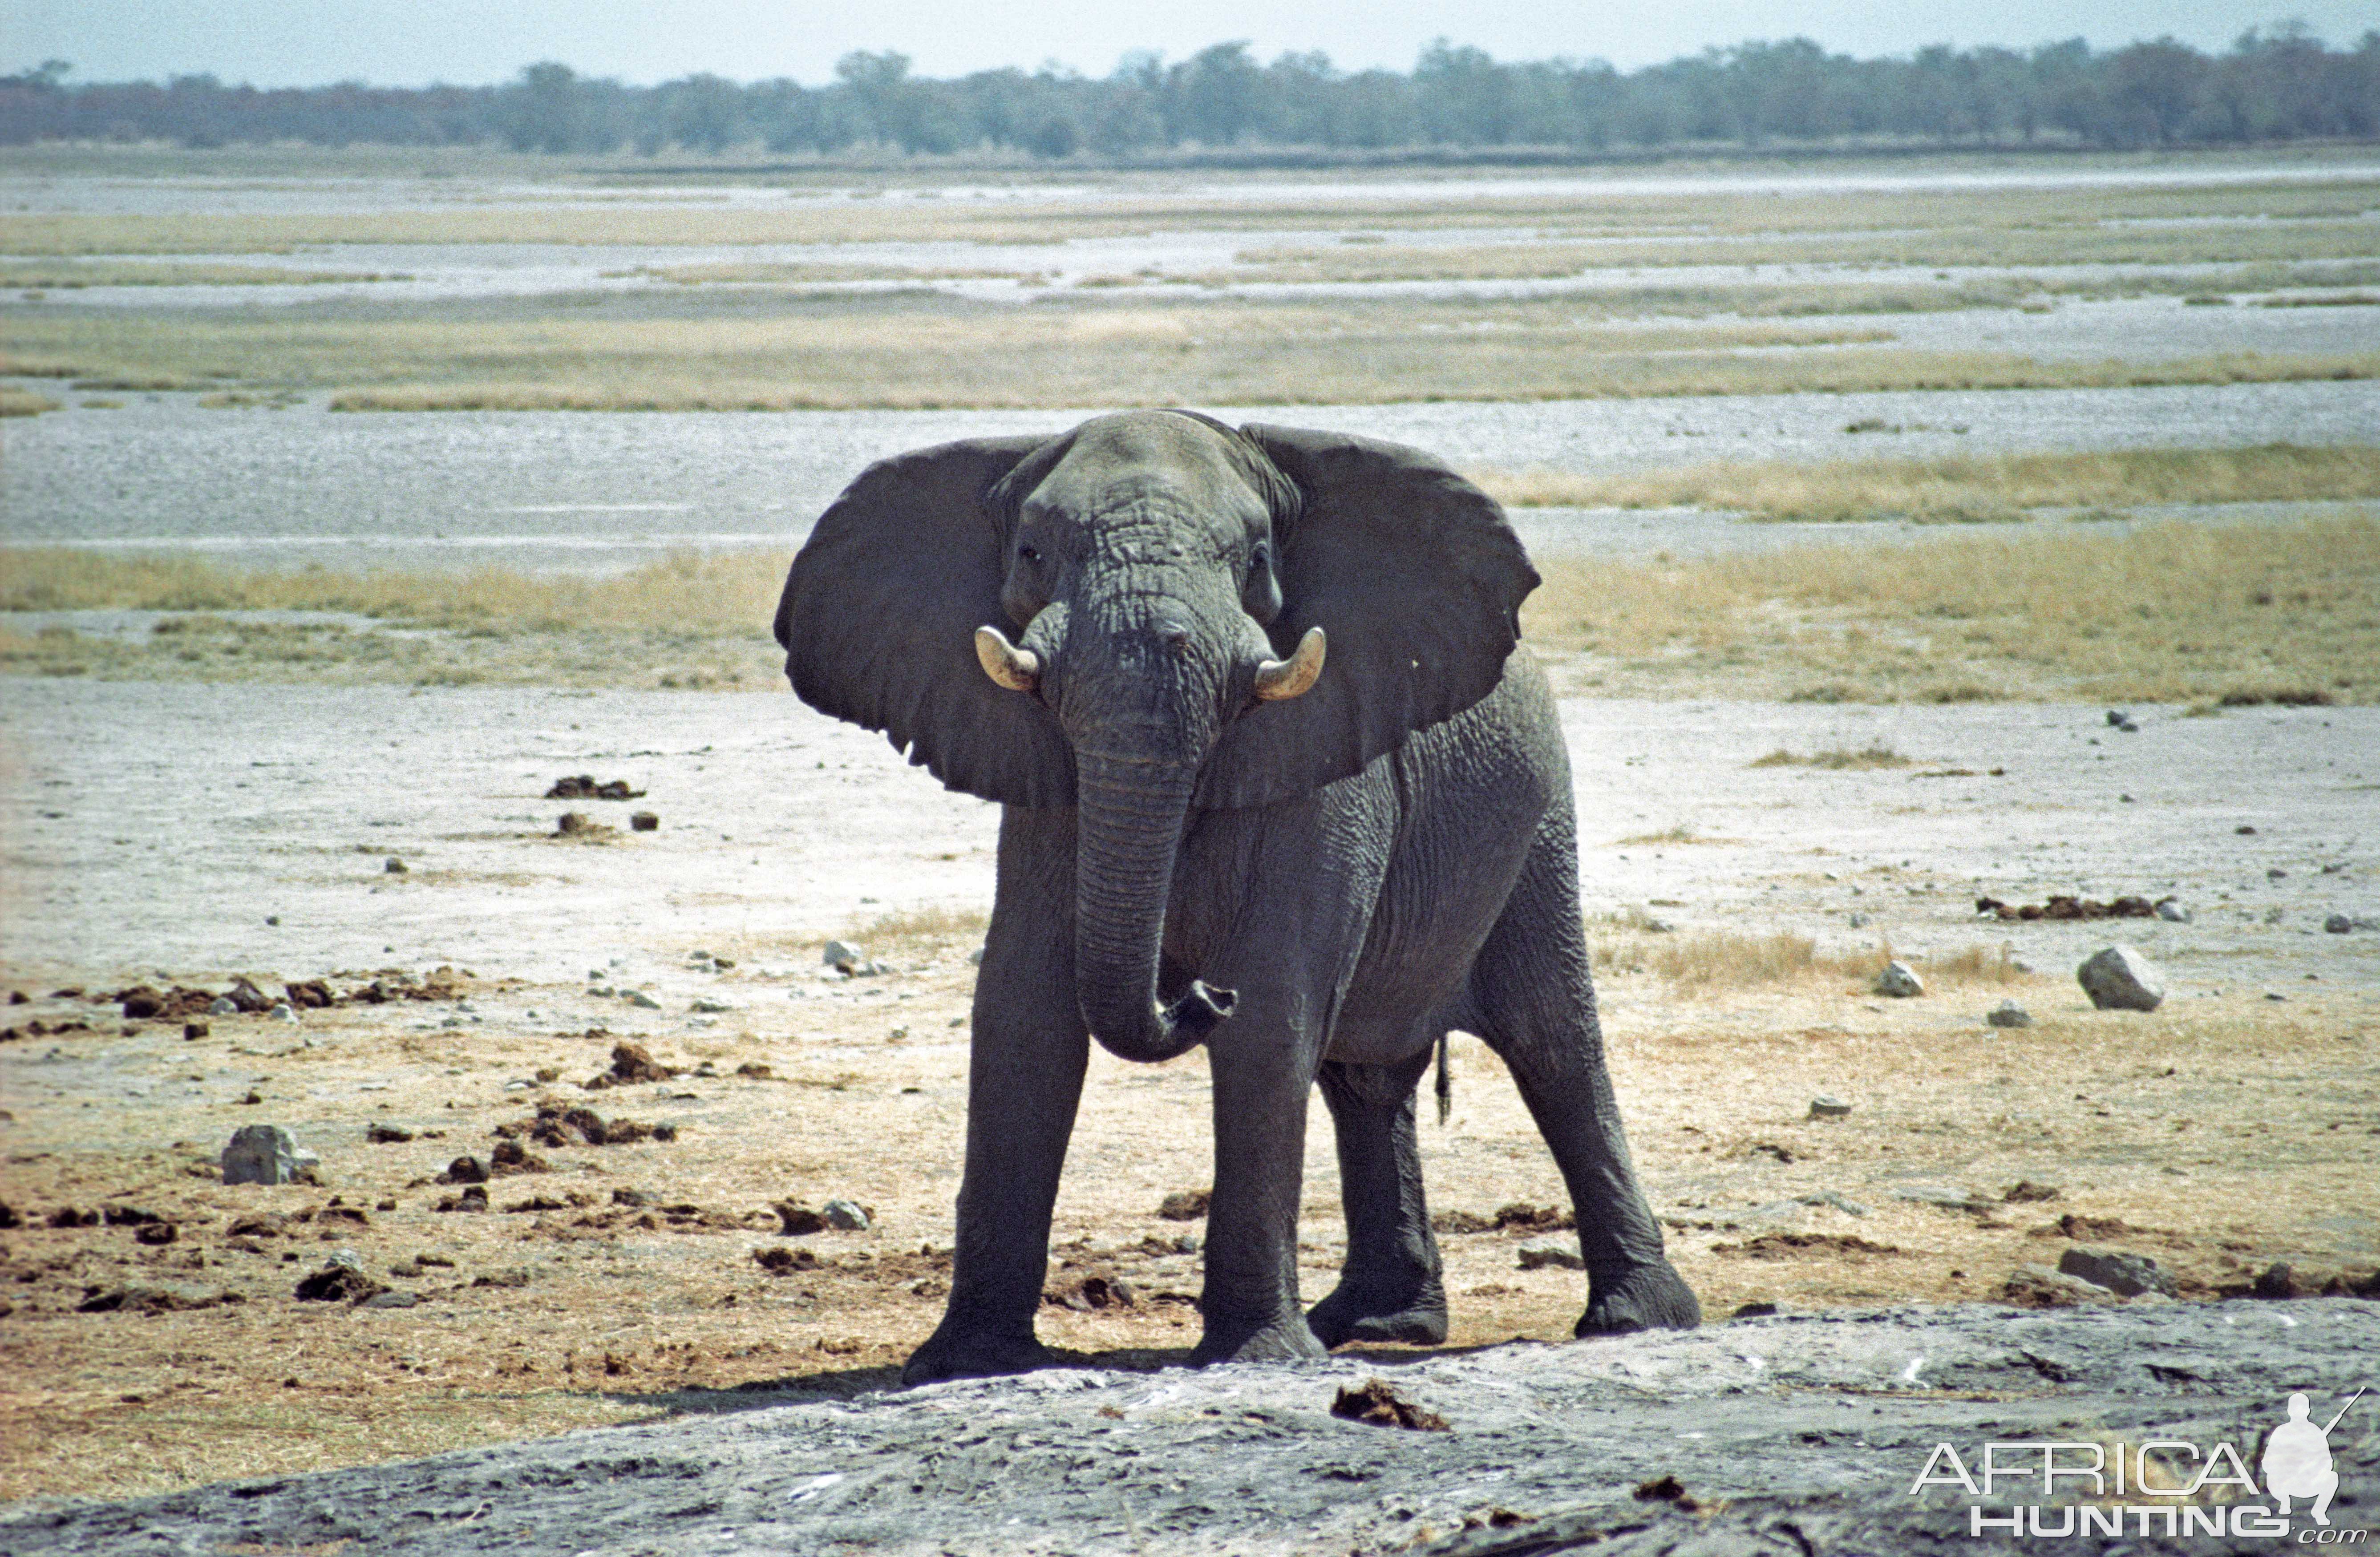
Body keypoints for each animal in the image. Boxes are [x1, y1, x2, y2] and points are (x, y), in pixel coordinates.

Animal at [771, 409, 1704, 1381]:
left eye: (1254, 557)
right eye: (1030, 552)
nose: (1195, 990)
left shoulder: (1328, 757)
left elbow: (1269, 1016)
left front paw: (1256, 1354)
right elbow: (1024, 1016)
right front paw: (969, 1361)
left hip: (1537, 823)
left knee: (1550, 1042)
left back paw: (1632, 1317)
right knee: (1363, 1078)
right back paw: (1379, 1324)